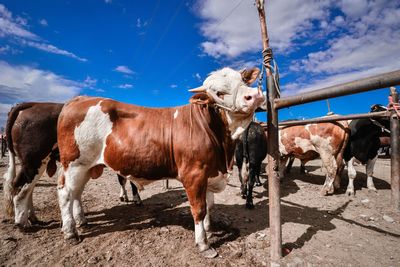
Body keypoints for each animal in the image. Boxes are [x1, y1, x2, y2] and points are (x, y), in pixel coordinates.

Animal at [55, 67, 262, 260]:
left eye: (243, 80)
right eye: (219, 93)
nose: (254, 95)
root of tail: (79, 99)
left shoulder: (210, 174)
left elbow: (209, 206)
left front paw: (209, 230)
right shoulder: (194, 175)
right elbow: (199, 209)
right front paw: (204, 244)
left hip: (86, 167)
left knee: (77, 193)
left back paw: (82, 221)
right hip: (75, 164)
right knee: (65, 193)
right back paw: (70, 232)